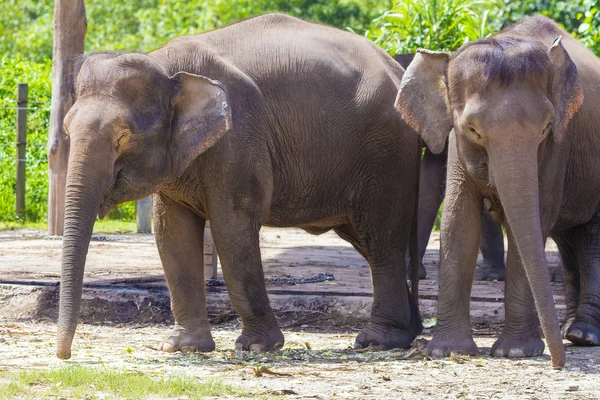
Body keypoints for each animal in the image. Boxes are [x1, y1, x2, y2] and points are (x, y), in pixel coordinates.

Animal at [55, 13, 422, 360]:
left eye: (124, 136)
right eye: (67, 130)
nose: (64, 355)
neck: (166, 65)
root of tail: (394, 66)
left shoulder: (240, 138)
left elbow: (232, 227)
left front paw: (257, 347)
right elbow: (171, 233)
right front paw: (182, 347)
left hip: (387, 154)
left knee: (381, 239)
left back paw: (378, 342)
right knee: (370, 243)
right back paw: (409, 333)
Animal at [394, 16, 600, 368]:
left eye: (545, 128)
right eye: (474, 130)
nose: (558, 364)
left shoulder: (558, 146)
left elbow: (534, 221)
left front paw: (516, 351)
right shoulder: (457, 143)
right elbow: (458, 222)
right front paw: (447, 351)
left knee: (591, 237)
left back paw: (583, 335)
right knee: (571, 238)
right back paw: (571, 333)